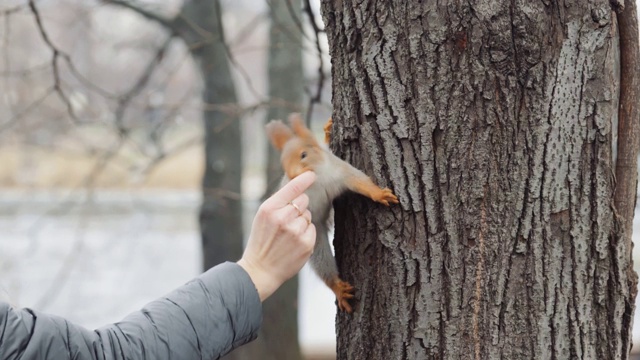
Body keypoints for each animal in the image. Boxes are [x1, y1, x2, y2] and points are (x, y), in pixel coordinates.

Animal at [262, 113, 398, 312]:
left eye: (304, 155)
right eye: (283, 164)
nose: (292, 176)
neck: (318, 178)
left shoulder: (341, 171)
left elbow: (360, 181)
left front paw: (379, 194)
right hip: (316, 237)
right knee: (323, 264)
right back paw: (339, 288)